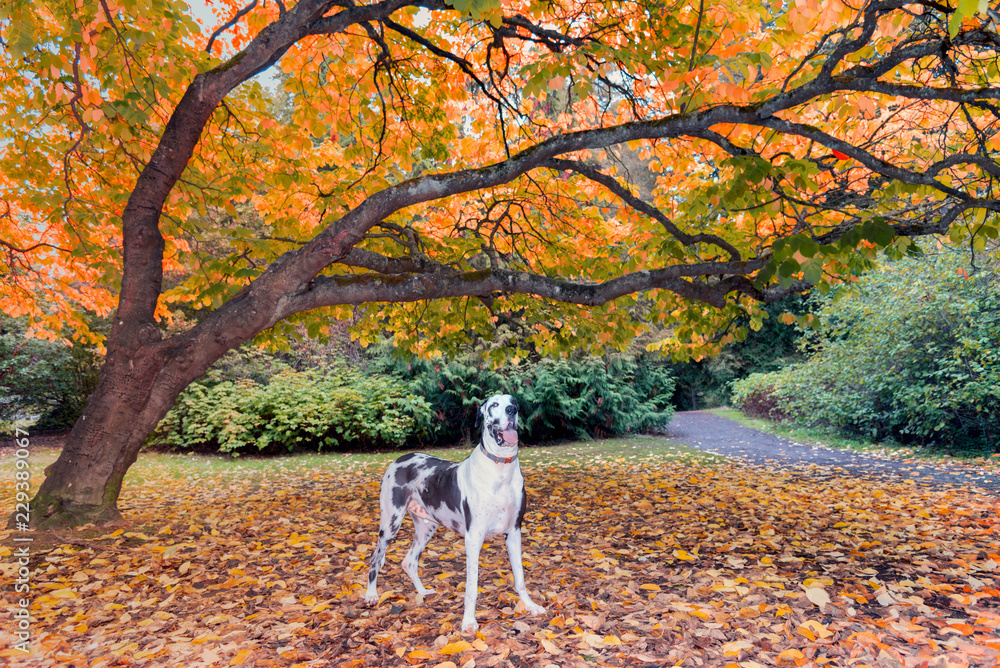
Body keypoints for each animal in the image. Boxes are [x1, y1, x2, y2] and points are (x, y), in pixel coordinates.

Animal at [366, 394, 544, 636]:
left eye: (513, 402)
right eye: (494, 404)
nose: (511, 410)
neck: (500, 468)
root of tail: (400, 458)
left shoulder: (514, 531)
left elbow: (520, 578)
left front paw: (530, 605)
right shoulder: (473, 537)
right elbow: (471, 587)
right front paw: (468, 621)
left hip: (427, 527)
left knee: (409, 561)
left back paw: (423, 592)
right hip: (390, 523)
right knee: (376, 558)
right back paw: (371, 595)